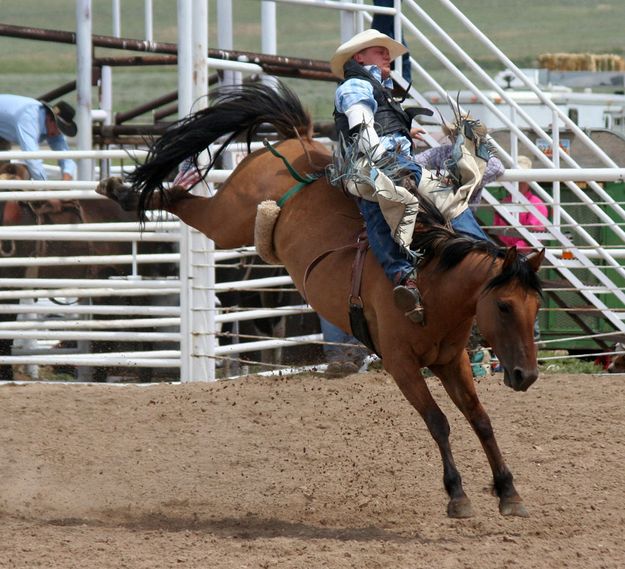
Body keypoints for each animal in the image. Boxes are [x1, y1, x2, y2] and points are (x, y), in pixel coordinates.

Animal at [96, 81, 540, 520]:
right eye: (504, 306)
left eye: (535, 307)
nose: (526, 376)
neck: (431, 284)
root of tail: (300, 140)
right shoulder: (400, 364)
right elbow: (438, 421)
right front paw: (457, 495)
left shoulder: (451, 360)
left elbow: (480, 419)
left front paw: (509, 491)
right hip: (228, 218)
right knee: (182, 200)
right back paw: (117, 190)